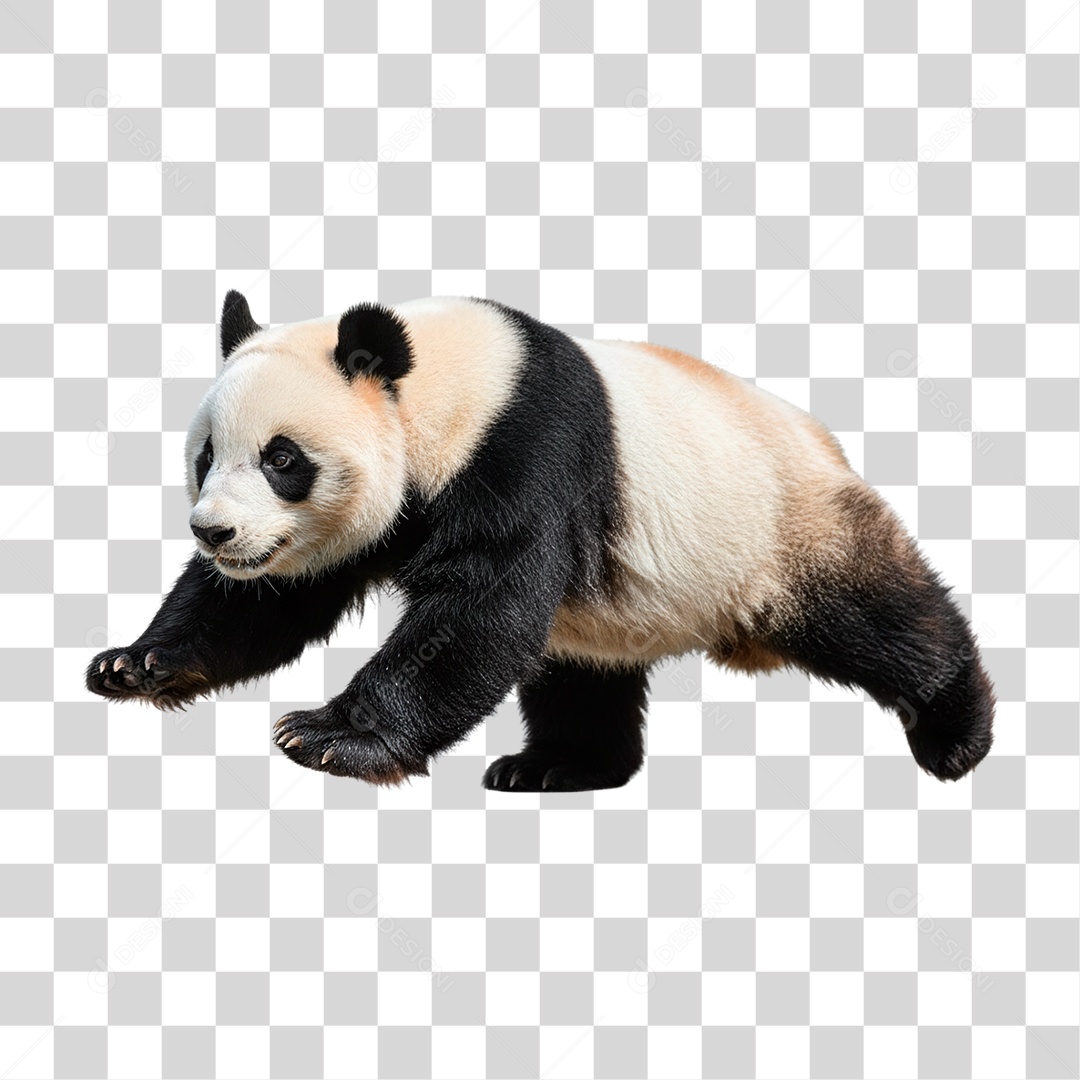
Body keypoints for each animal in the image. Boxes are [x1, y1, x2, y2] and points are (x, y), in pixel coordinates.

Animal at [87, 291, 995, 790]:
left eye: (283, 459)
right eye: (206, 455)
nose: (215, 531)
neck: (451, 384)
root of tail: (824, 438)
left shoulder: (525, 453)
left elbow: (481, 608)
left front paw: (327, 736)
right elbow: (271, 602)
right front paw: (135, 663)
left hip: (779, 525)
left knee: (878, 615)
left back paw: (956, 732)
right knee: (579, 671)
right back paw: (558, 767)